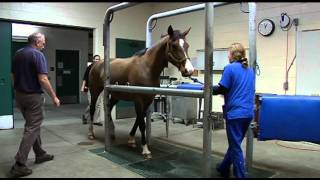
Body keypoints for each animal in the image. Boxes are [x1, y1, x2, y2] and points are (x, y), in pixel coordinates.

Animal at [86, 25, 194, 159]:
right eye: (174, 46)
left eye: (187, 45)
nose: (189, 70)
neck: (146, 68)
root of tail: (95, 63)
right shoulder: (138, 100)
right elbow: (142, 123)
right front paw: (145, 149)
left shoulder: (148, 100)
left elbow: (139, 118)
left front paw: (131, 140)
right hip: (95, 91)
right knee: (92, 109)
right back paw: (91, 133)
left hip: (116, 95)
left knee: (109, 108)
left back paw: (111, 132)